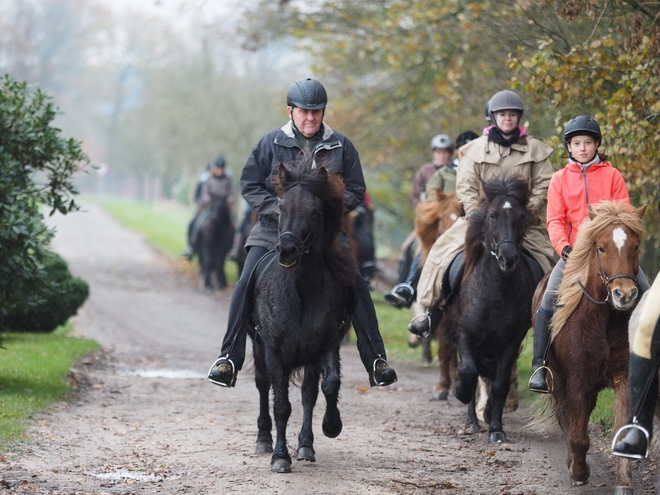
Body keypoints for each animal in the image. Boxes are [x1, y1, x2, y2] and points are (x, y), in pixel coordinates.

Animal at [248, 159, 356, 472]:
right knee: (263, 385)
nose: (287, 250)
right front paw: (280, 457)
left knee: (309, 393)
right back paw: (263, 439)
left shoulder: (325, 344)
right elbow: (281, 405)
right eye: (281, 207)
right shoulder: (273, 349)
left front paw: (331, 426)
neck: (301, 290)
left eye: (314, 211)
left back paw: (306, 445)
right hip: (258, 346)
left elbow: (328, 385)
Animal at [446, 176, 532, 444]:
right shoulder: (466, 334)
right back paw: (472, 421)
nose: (508, 258)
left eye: (522, 216)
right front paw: (460, 393)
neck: (497, 290)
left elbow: (501, 383)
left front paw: (496, 428)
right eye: (492, 215)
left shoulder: (511, 342)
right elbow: (468, 371)